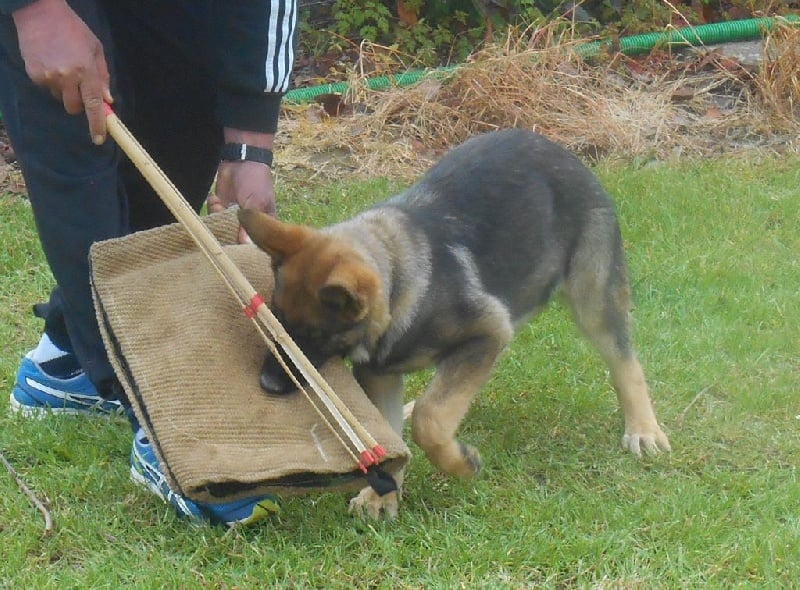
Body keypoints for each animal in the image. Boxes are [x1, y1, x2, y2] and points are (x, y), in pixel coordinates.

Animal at [238, 128, 671, 519]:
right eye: (276, 322)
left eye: (316, 337)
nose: (266, 385)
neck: (400, 282)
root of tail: (556, 148)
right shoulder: (381, 374)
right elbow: (394, 438)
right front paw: (383, 496)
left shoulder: (486, 334)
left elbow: (431, 421)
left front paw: (460, 463)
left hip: (592, 297)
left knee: (624, 361)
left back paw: (643, 428)